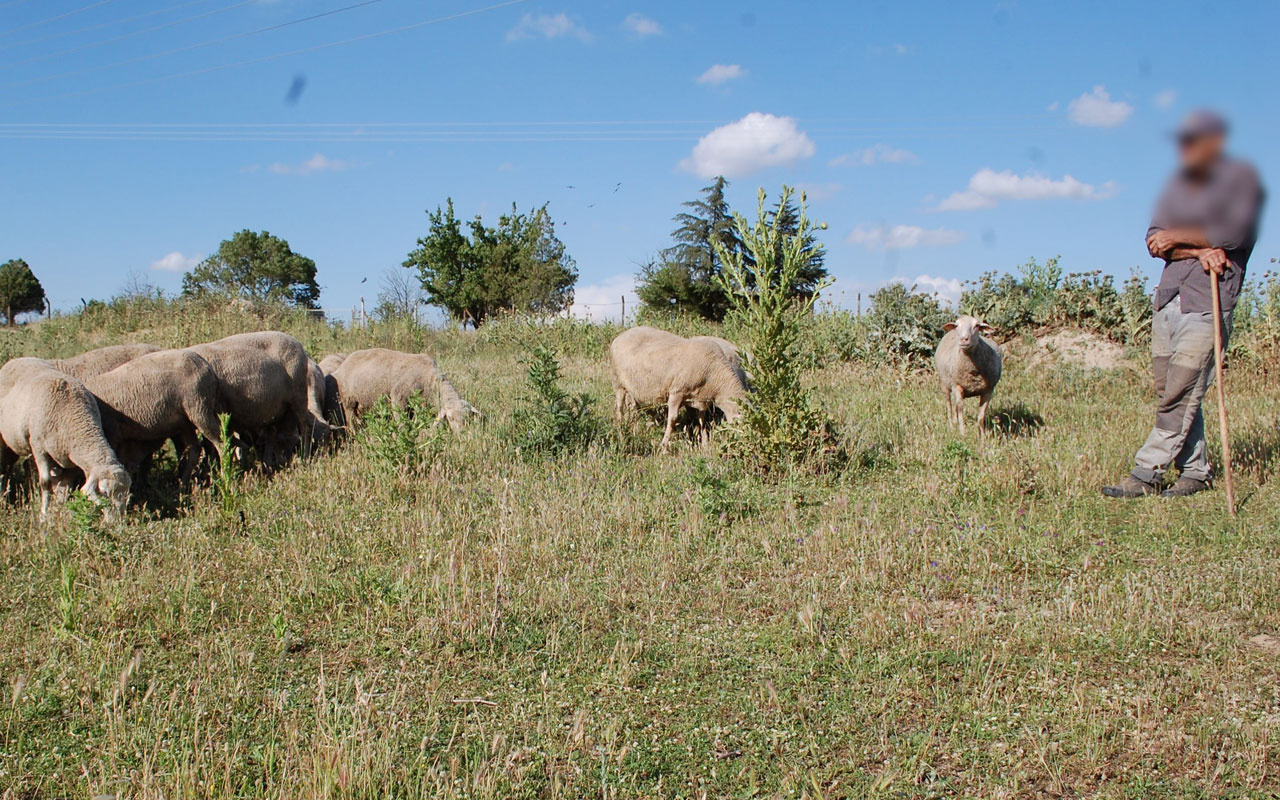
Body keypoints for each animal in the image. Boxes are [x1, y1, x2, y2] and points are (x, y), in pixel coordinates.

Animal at [0, 358, 130, 522]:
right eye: (106, 493)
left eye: (126, 493)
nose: (116, 523)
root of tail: (18, 359)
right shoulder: (38, 447)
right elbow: (45, 483)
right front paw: (44, 516)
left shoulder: (69, 456)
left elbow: (64, 485)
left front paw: (61, 512)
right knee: (6, 466)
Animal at [82, 348, 235, 481]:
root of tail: (207, 367)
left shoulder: (113, 433)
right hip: (185, 421)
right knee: (195, 449)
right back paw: (184, 484)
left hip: (199, 408)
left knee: (221, 443)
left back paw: (224, 477)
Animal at [330, 345, 481, 427]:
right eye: (450, 418)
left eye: (467, 419)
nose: (461, 436)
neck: (430, 380)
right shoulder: (399, 396)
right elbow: (400, 420)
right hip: (347, 400)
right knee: (350, 420)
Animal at [609, 325, 747, 450]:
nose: (745, 442)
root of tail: (621, 336)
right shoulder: (677, 392)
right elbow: (673, 419)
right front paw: (664, 446)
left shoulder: (700, 398)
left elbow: (702, 420)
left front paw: (705, 444)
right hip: (617, 382)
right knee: (619, 408)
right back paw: (620, 431)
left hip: (633, 388)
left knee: (632, 408)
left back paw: (634, 429)